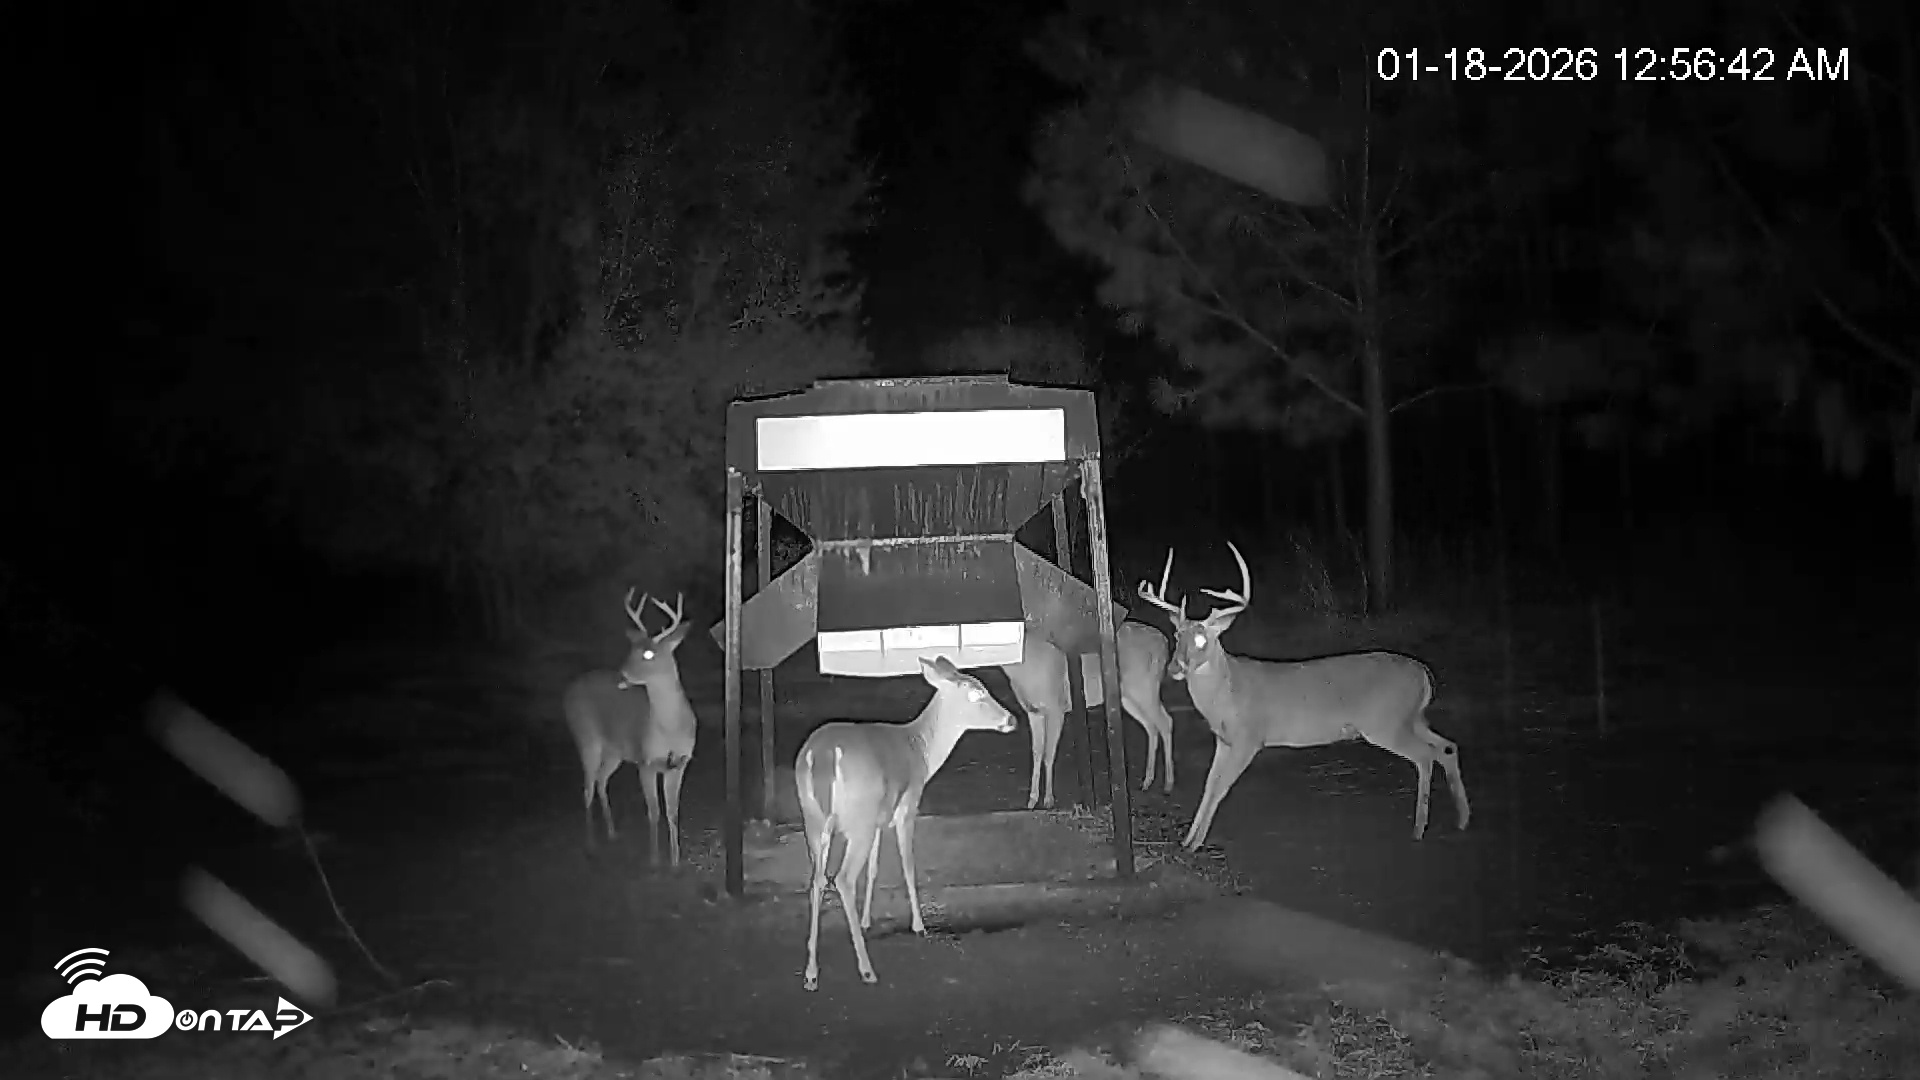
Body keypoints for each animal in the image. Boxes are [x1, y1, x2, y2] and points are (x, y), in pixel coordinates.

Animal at [560, 589, 697, 867]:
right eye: (631, 648)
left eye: (648, 654)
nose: (622, 675)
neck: (670, 730)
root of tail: (568, 690)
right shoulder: (645, 762)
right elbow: (653, 812)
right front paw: (654, 859)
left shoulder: (680, 764)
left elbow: (672, 812)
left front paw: (675, 861)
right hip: (586, 737)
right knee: (587, 788)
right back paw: (591, 844)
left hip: (615, 751)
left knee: (601, 781)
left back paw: (612, 833)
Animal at [795, 655, 1018, 991]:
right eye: (976, 693)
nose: (1011, 719)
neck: (920, 749)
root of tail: (821, 756)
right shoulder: (907, 805)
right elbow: (909, 866)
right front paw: (919, 925)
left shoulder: (879, 817)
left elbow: (874, 868)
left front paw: (866, 920)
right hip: (856, 818)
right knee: (843, 878)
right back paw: (866, 970)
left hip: (816, 819)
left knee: (817, 880)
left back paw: (811, 973)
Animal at [1000, 621, 1177, 809]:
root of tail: (1164, 642)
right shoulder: (1033, 712)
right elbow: (1036, 752)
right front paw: (1032, 800)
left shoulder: (1056, 708)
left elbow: (1049, 753)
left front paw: (1048, 799)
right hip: (1129, 695)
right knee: (1151, 726)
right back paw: (1147, 782)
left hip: (1145, 685)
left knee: (1166, 722)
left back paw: (1168, 784)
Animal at [1135, 543, 1470, 849]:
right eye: (1177, 635)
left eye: (1203, 640)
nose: (1174, 667)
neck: (1227, 694)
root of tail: (1424, 674)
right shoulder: (1224, 740)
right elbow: (1208, 786)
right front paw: (1188, 840)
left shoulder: (1249, 738)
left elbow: (1220, 788)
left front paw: (1195, 844)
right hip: (1412, 718)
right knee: (1447, 747)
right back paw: (1462, 818)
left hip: (1386, 723)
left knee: (1425, 755)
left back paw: (1419, 829)